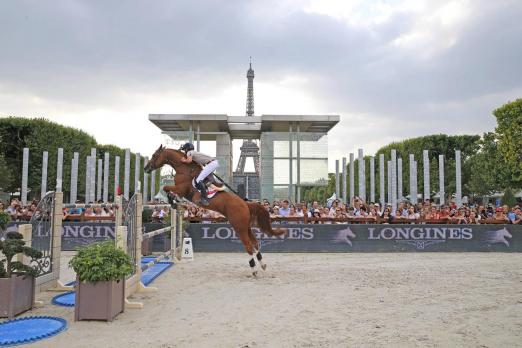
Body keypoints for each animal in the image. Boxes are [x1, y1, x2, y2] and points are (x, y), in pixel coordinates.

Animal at [143, 145, 284, 276]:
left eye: (155, 155)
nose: (146, 168)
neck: (184, 169)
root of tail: (245, 204)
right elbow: (167, 189)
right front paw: (175, 202)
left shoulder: (182, 189)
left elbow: (166, 188)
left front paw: (173, 201)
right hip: (245, 226)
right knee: (255, 243)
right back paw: (263, 264)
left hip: (239, 226)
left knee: (248, 245)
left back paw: (254, 269)